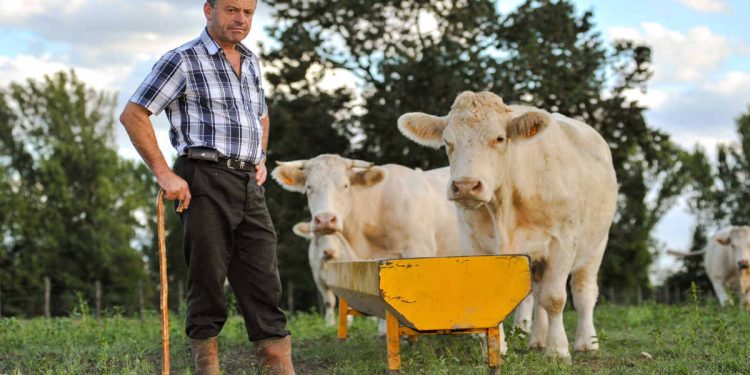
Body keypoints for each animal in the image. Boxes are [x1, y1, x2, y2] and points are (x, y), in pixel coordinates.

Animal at [396, 91, 620, 362]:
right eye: (448, 141)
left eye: (499, 138)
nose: (466, 185)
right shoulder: (474, 242)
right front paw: (494, 348)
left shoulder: (563, 241)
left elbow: (555, 298)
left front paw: (557, 350)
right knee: (539, 293)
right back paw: (537, 340)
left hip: (597, 244)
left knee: (583, 292)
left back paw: (586, 343)